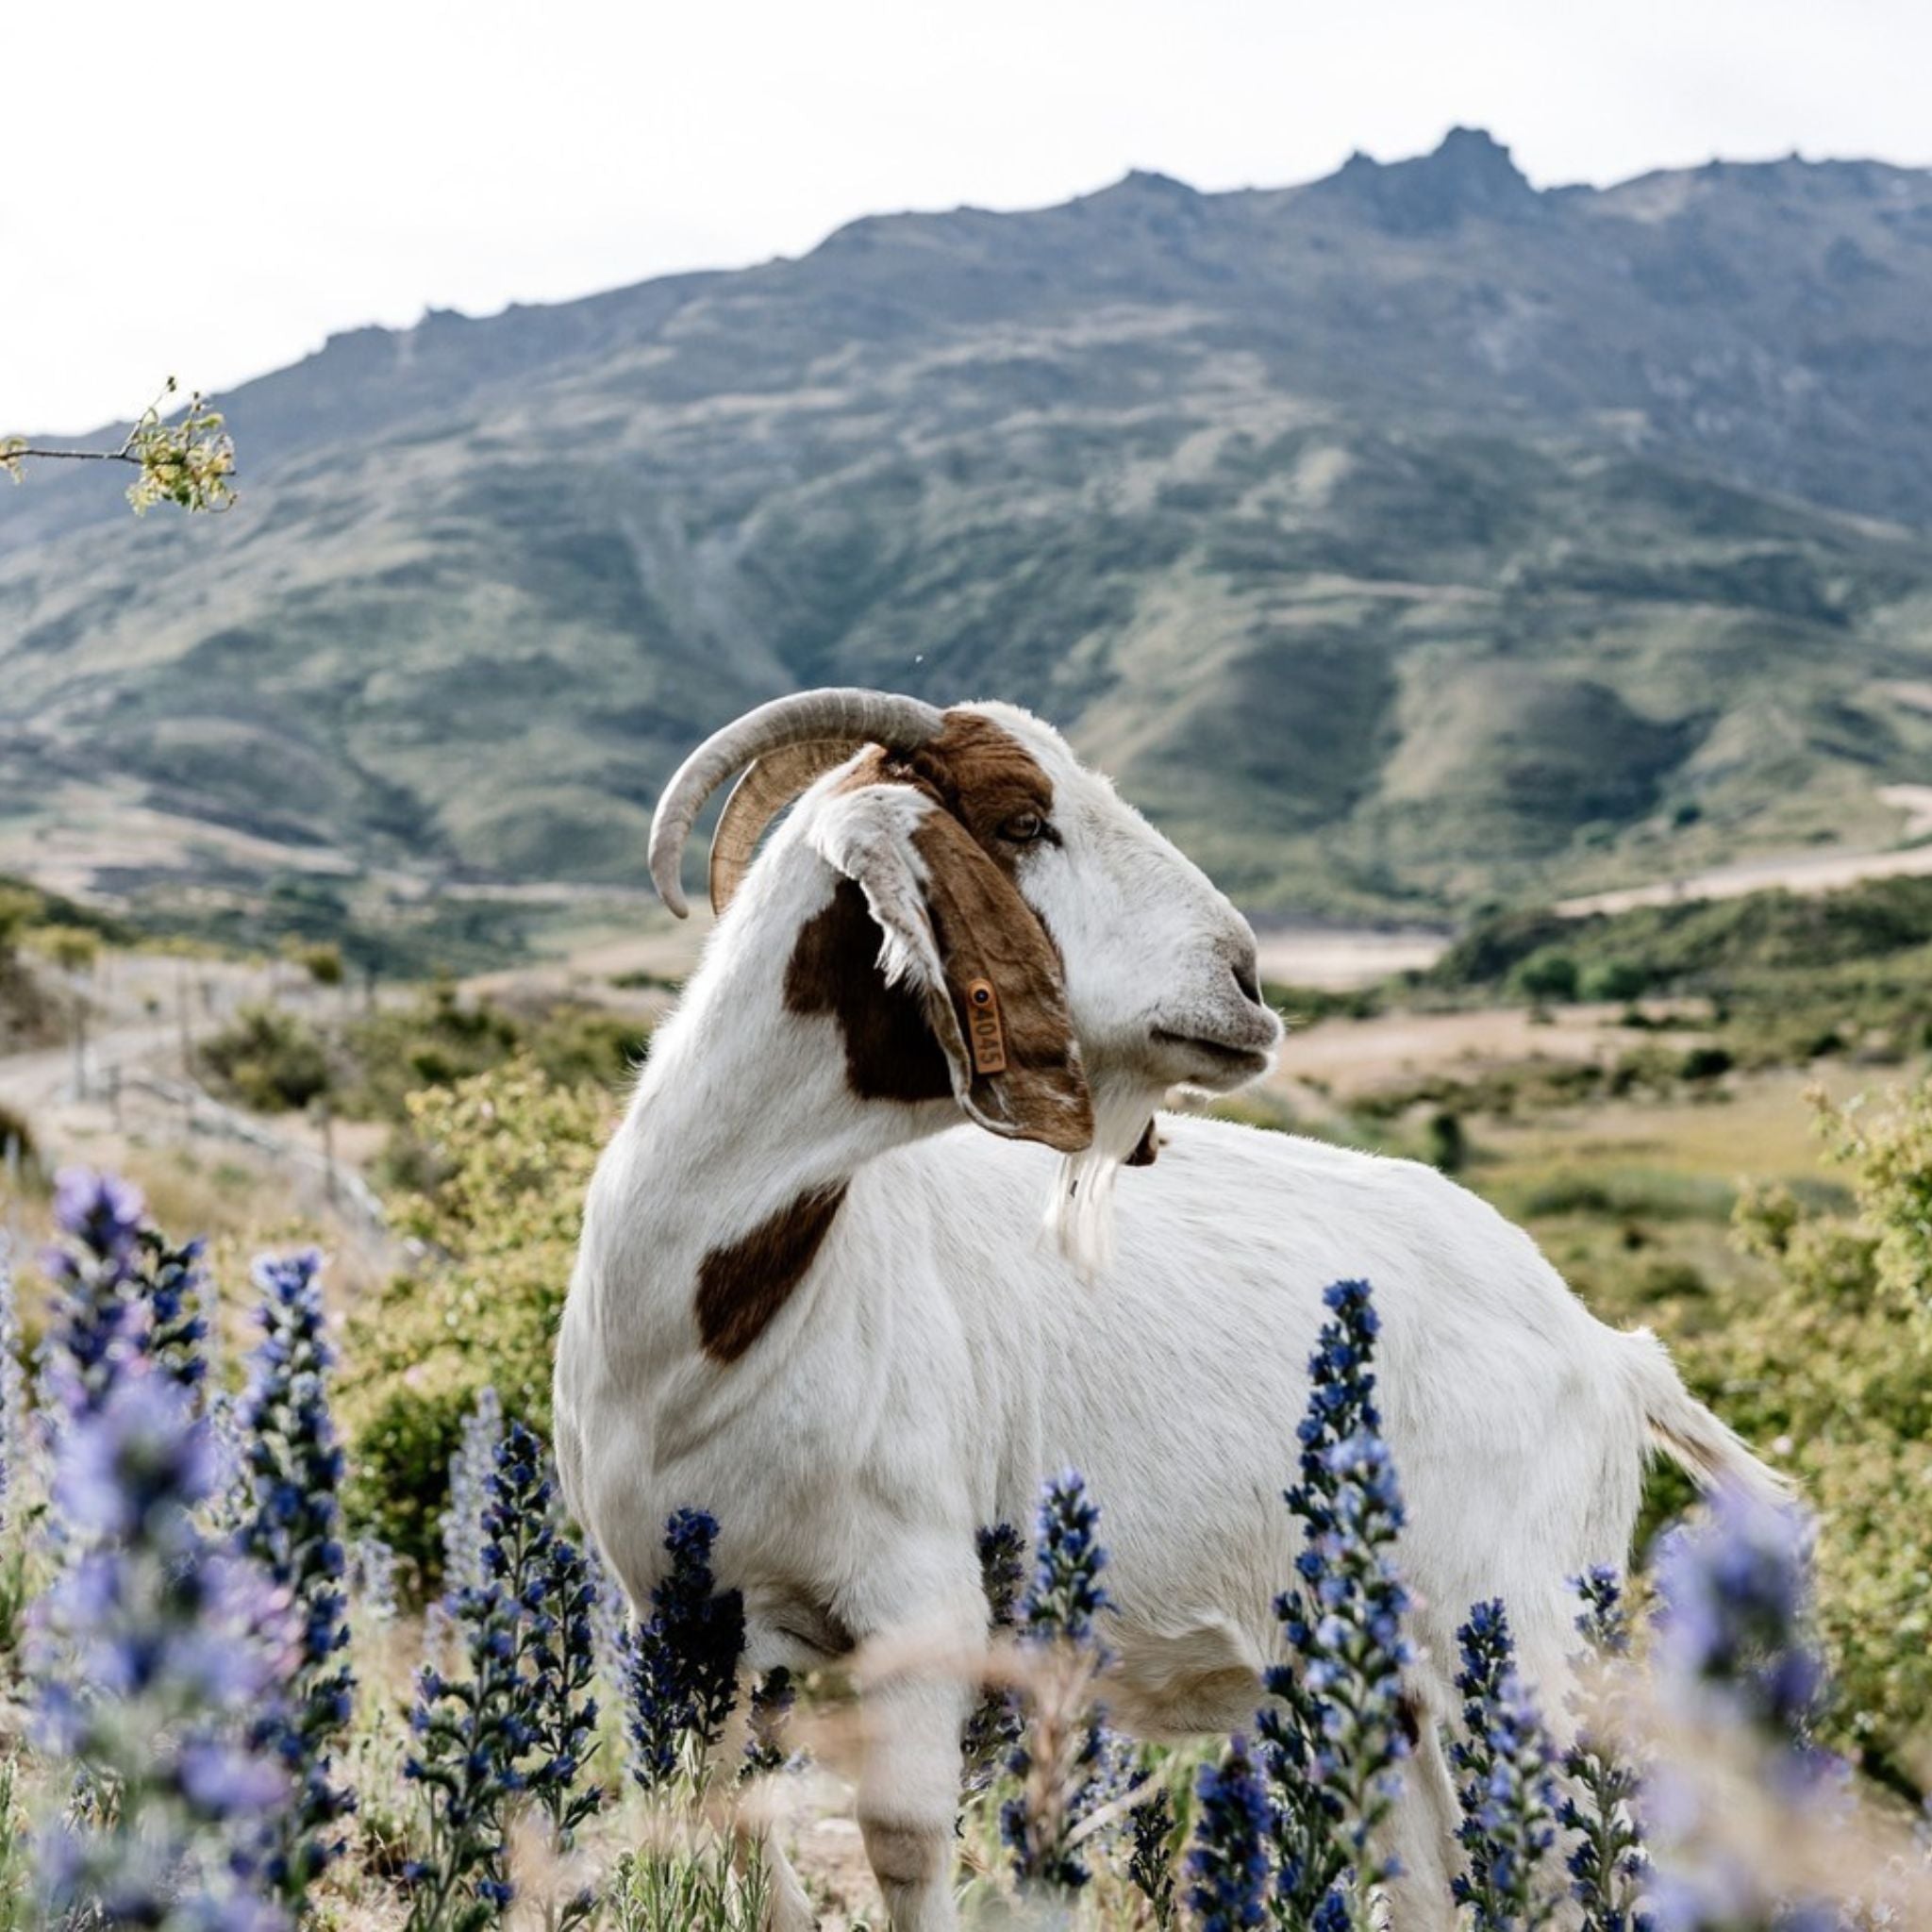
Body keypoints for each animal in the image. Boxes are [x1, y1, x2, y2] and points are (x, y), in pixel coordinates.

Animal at [552, 688, 1783, 1931]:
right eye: (1021, 819)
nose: (1245, 983)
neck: (707, 1337)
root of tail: (1606, 1349)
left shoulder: (918, 1601)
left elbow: (900, 1837)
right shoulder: (683, 1610)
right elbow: (727, 1821)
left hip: (1525, 1624)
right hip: (1390, 1676)